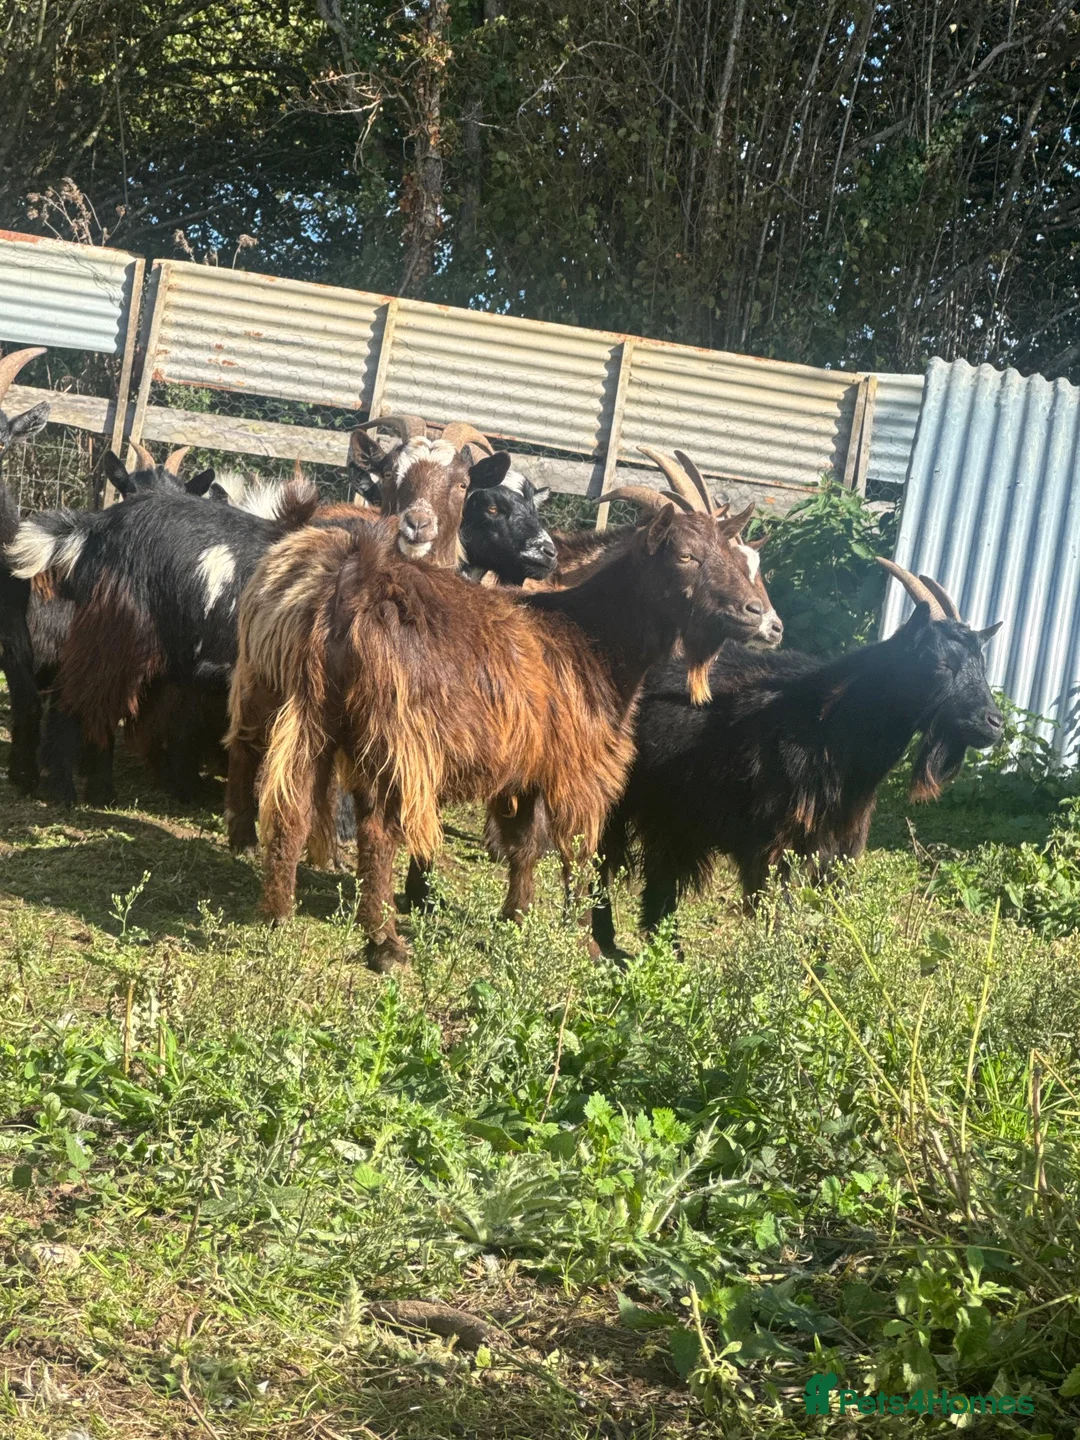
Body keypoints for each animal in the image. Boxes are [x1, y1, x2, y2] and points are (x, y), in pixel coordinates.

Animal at [225, 466, 778, 971]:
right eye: (686, 555)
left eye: (738, 556)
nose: (760, 617)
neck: (591, 639)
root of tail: (352, 582)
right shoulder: (580, 769)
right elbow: (580, 855)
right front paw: (586, 943)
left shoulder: (525, 767)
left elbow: (524, 847)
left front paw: (517, 916)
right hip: (394, 738)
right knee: (378, 832)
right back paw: (383, 942)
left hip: (296, 701)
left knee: (287, 800)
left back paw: (276, 911)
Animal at [590, 560, 1005, 954]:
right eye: (941, 664)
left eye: (982, 665)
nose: (994, 723)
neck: (827, 723)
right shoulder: (774, 846)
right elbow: (780, 917)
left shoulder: (838, 848)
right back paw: (605, 945)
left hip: (671, 818)